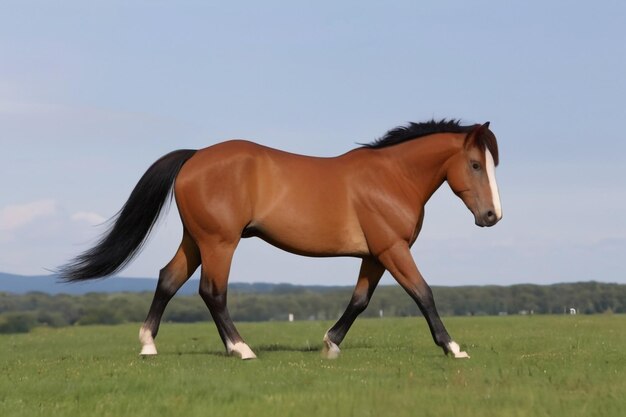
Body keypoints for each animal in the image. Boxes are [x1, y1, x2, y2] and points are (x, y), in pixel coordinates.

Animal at [58, 118, 498, 360]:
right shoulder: (393, 249)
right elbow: (423, 293)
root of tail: (196, 156)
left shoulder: (375, 254)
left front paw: (330, 344)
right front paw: (452, 348)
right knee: (212, 292)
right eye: (475, 164)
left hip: (196, 240)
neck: (390, 178)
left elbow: (360, 301)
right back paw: (240, 349)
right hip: (220, 242)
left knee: (168, 279)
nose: (492, 216)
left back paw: (150, 345)